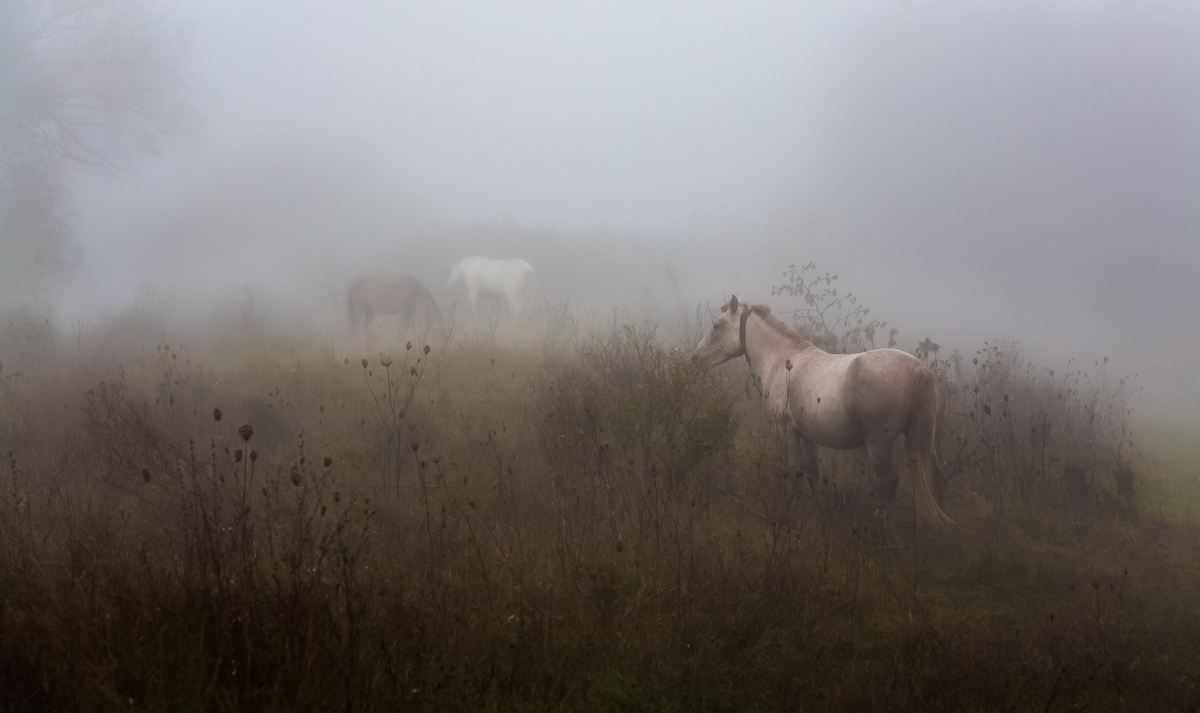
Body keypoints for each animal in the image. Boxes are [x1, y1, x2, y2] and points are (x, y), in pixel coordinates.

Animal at [696, 292, 955, 520]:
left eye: (716, 325)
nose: (696, 355)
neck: (781, 360)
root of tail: (918, 369)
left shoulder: (785, 429)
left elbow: (793, 471)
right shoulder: (807, 435)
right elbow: (813, 473)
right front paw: (815, 509)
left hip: (878, 443)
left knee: (887, 482)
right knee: (935, 476)